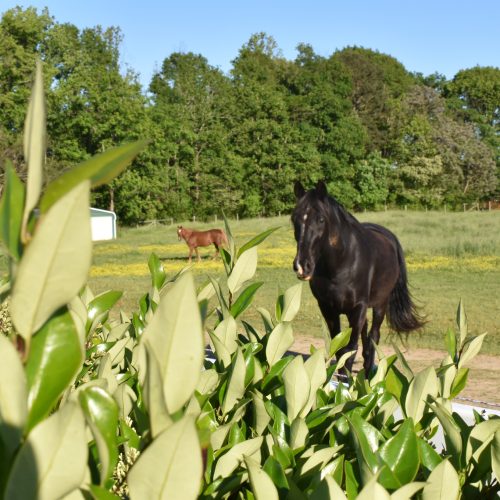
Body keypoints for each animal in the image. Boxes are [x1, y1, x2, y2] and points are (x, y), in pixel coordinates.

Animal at [292, 181, 424, 376]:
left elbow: (351, 348)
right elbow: (340, 349)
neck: (342, 263)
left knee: (374, 335)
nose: (302, 265)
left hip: (379, 304)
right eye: (294, 218)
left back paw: (369, 371)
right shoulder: (328, 309)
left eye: (321, 219)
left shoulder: (359, 307)